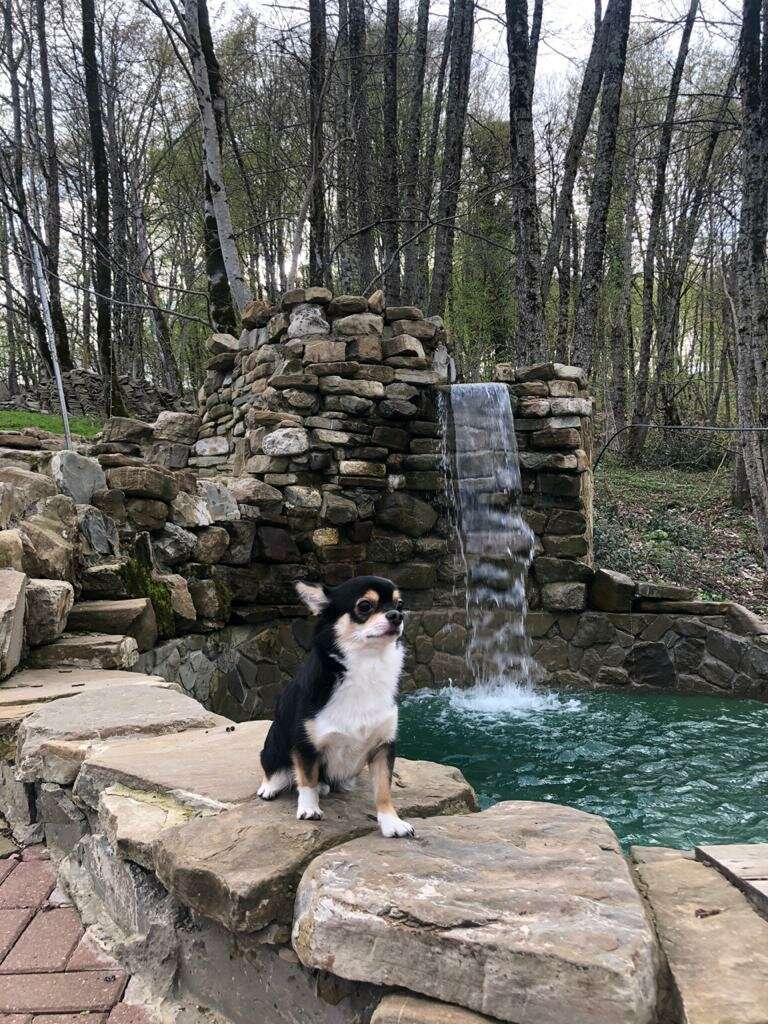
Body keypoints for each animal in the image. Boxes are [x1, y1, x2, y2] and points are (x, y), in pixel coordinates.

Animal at [257, 575, 414, 838]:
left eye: (400, 604)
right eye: (364, 606)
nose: (396, 616)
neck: (366, 666)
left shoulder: (383, 746)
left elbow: (383, 788)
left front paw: (391, 821)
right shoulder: (305, 743)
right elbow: (306, 779)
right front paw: (309, 809)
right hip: (274, 744)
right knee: (277, 770)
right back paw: (270, 787)